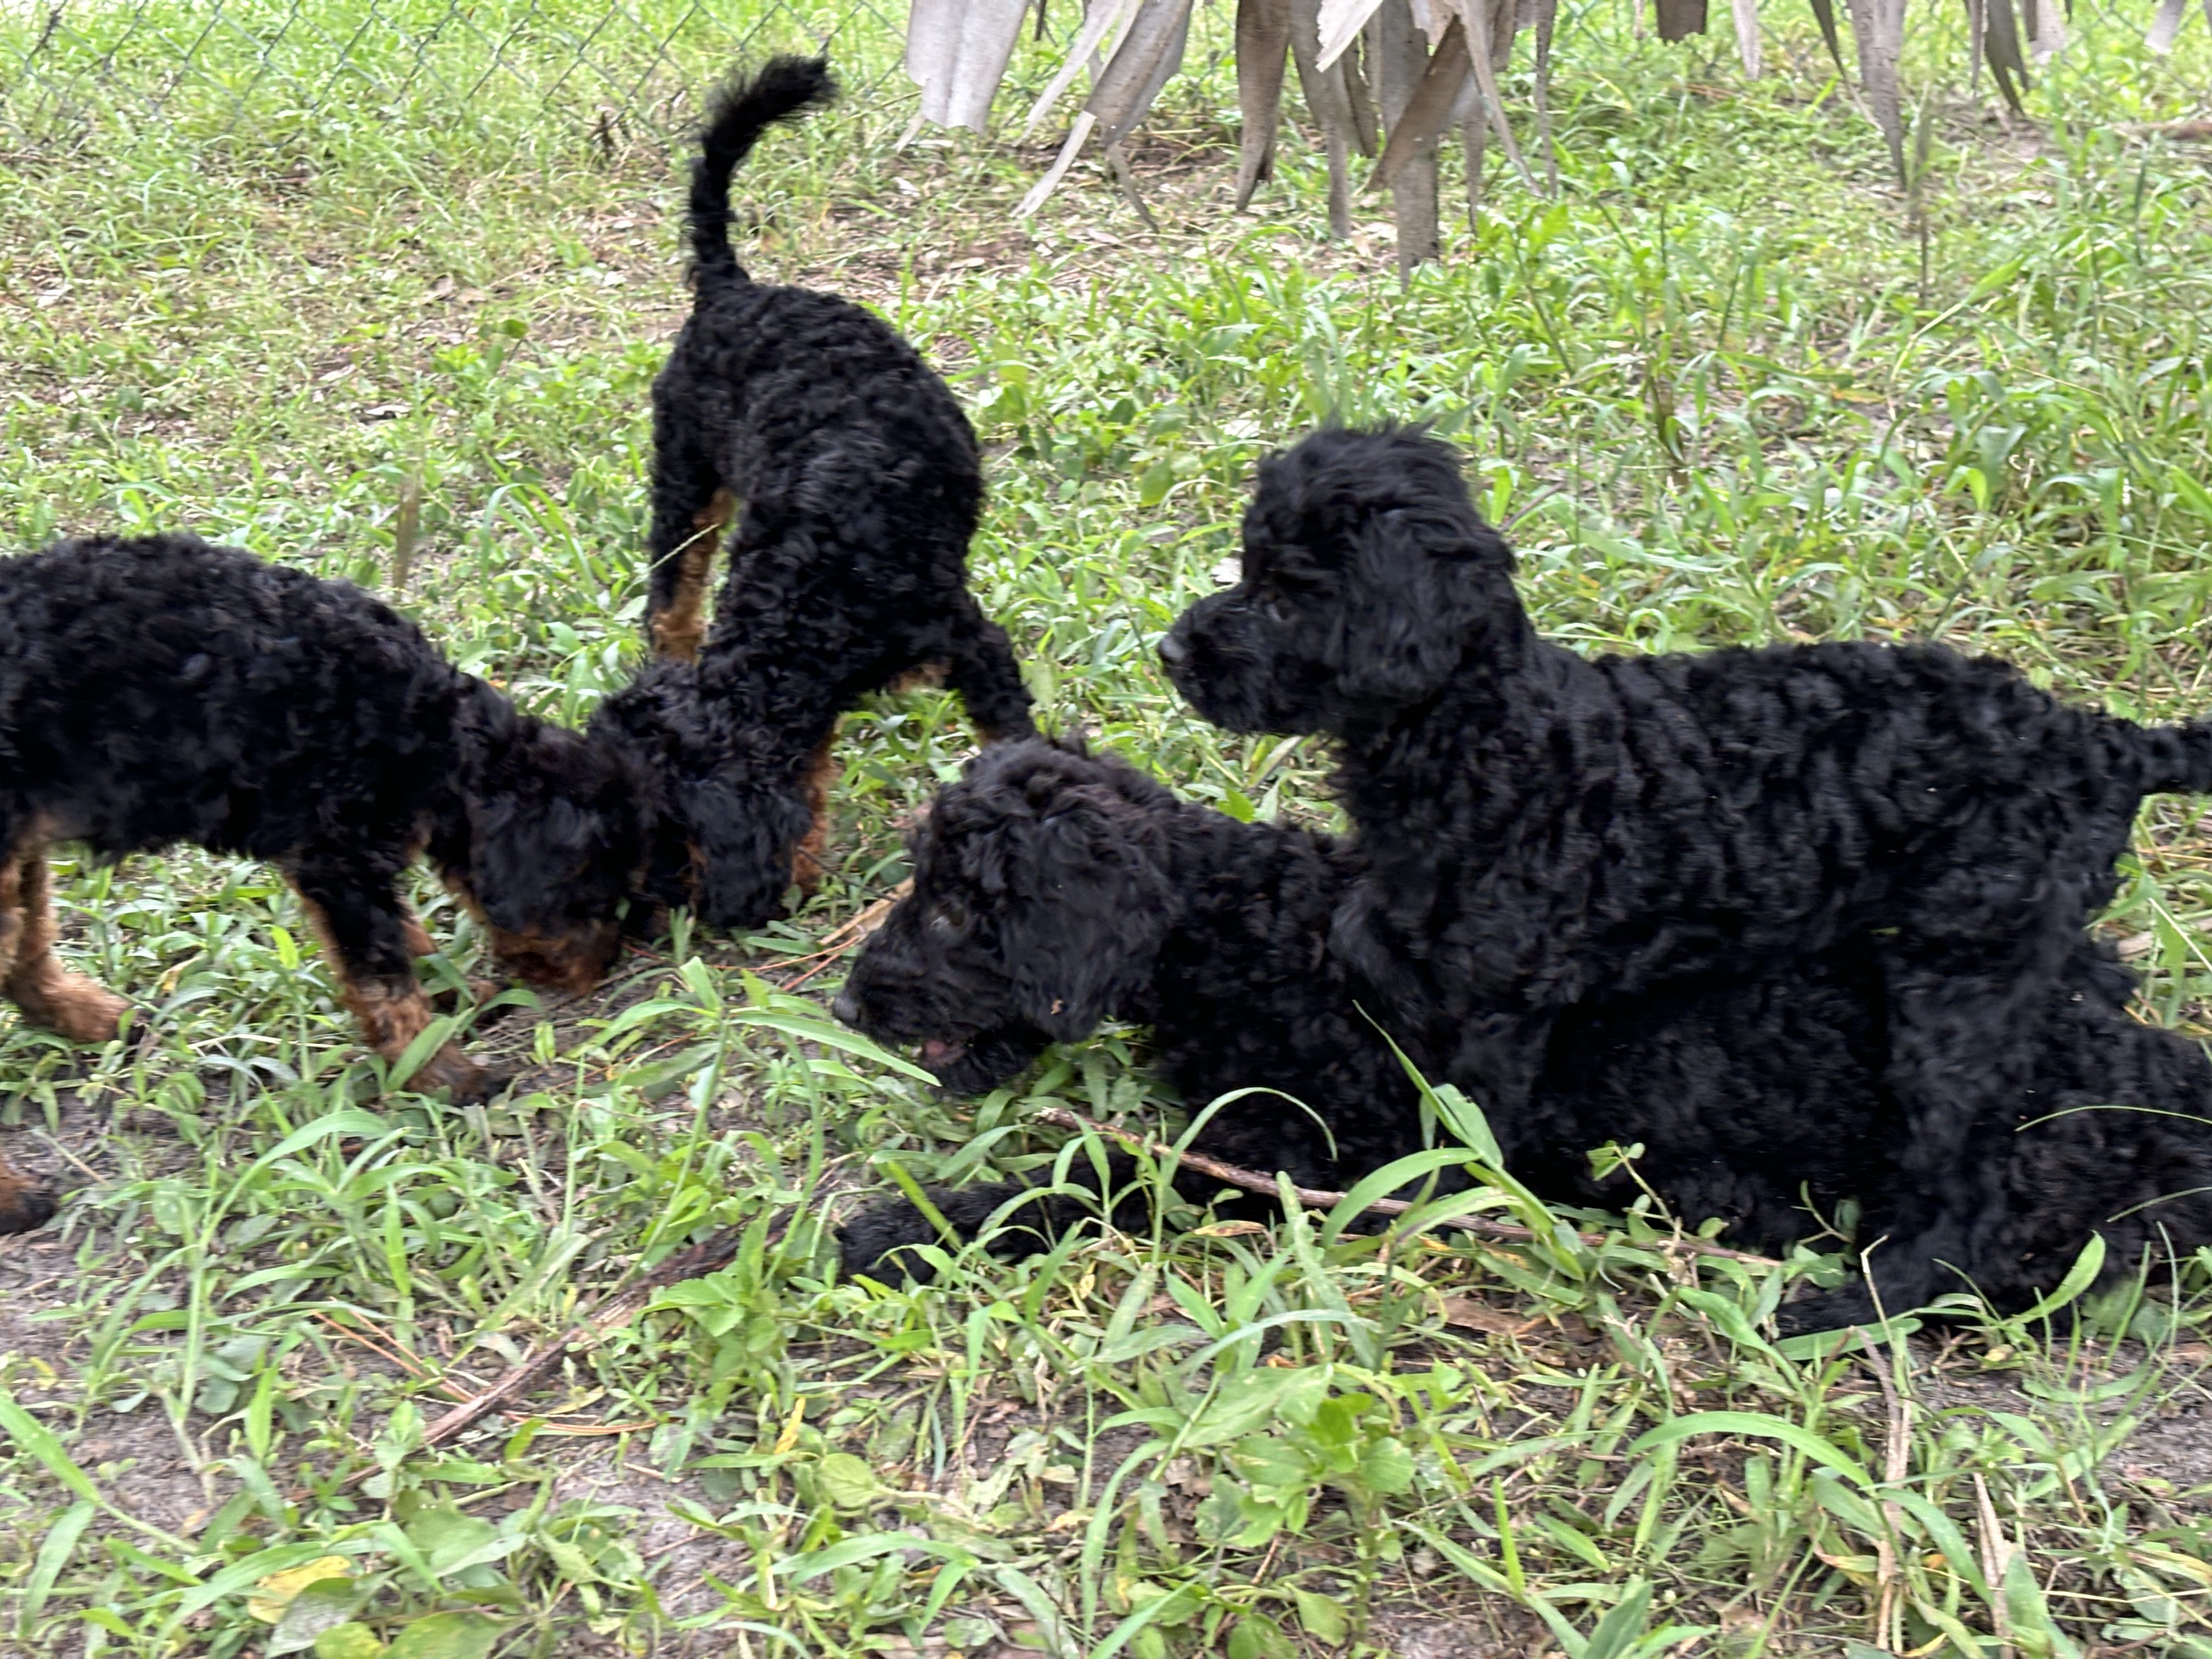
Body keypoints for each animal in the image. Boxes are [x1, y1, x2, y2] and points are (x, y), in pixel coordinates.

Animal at [0, 533, 650, 1238]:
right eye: (597, 897)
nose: (603, 970)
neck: (430, 729)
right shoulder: (337, 853)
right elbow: (384, 978)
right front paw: (439, 1071)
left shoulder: (343, 855)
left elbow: (400, 938)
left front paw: (453, 992)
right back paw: (13, 1194)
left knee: (26, 950)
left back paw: (93, 1017)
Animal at [588, 58, 1035, 942]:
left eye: (667, 850)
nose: (644, 925)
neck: (821, 592)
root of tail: (732, 289)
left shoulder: (971, 642)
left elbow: (1010, 737)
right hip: (685, 475)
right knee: (672, 601)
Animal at [832, 738, 2212, 1336]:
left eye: (951, 909)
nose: (845, 1006)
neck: (1235, 925)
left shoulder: (1309, 1157)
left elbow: (1108, 1175)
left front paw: (907, 1228)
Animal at [1150, 431, 2212, 1336]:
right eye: (1246, 566)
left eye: (1287, 596)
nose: (1168, 652)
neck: (1481, 726)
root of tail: (2098, 741)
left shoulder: (1500, 999)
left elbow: (1464, 1127)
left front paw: (1420, 1207)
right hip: (2012, 939)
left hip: (1957, 988)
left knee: (1967, 1190)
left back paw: (1854, 1306)